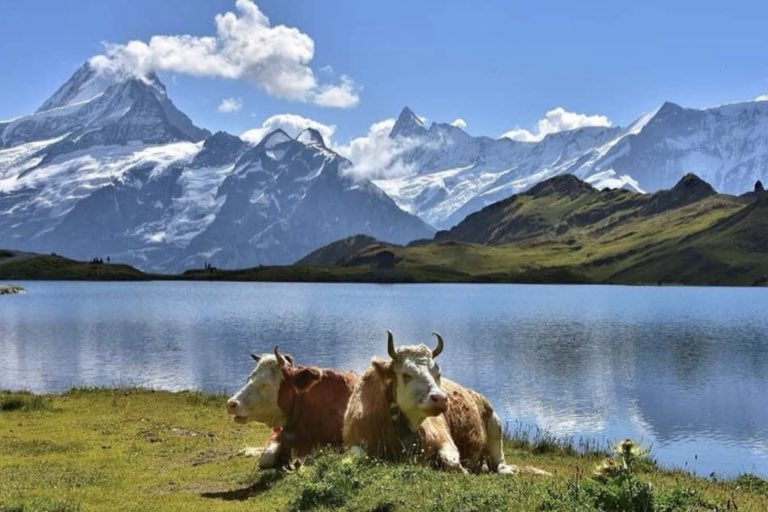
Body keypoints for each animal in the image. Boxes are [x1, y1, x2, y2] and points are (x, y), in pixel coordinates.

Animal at [343, 331, 549, 475]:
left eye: (437, 373)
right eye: (406, 375)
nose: (441, 398)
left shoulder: (446, 441)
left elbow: (452, 462)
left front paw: (464, 470)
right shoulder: (353, 442)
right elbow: (357, 455)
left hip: (495, 426)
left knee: (499, 461)